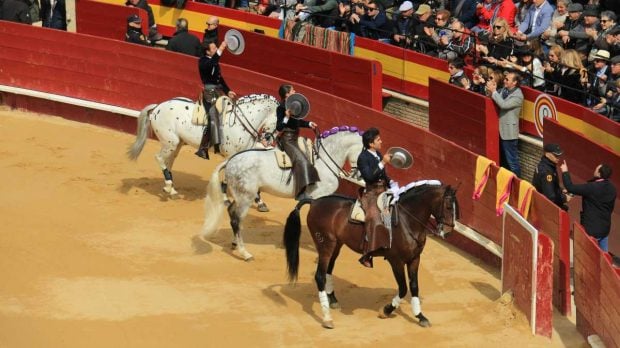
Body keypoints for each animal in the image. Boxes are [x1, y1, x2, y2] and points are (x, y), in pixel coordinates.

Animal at [127, 93, 278, 196]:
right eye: (280, 120)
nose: (269, 139)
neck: (240, 122)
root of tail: (158, 106)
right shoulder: (231, 155)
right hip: (171, 142)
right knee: (159, 158)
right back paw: (169, 185)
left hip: (177, 143)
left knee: (169, 160)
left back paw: (170, 188)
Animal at [203, 126, 364, 260]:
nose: (359, 177)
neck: (324, 160)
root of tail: (231, 160)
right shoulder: (318, 198)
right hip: (246, 197)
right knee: (236, 219)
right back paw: (244, 253)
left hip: (240, 195)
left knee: (233, 213)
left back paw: (235, 243)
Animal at [284, 182, 458, 328]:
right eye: (449, 207)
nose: (448, 231)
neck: (407, 221)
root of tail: (315, 203)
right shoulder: (396, 261)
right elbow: (403, 288)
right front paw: (386, 310)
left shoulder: (415, 259)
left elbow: (414, 286)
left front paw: (421, 316)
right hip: (325, 244)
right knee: (320, 275)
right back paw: (327, 318)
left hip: (336, 245)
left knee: (328, 270)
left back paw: (332, 300)